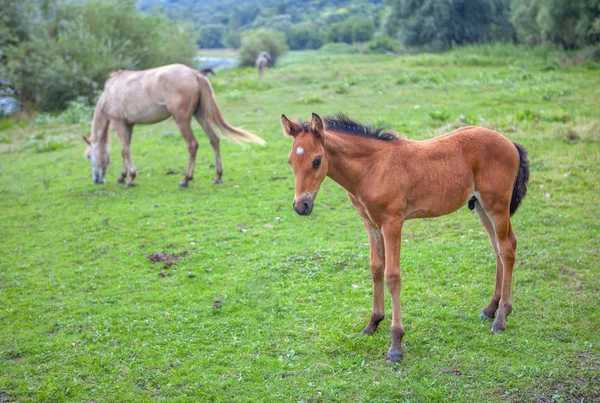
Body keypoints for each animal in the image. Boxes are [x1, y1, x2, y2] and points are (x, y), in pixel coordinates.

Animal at [82, 64, 264, 189]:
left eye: (89, 156)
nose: (96, 180)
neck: (110, 92)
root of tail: (195, 74)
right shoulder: (129, 125)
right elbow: (124, 151)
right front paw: (122, 177)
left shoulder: (119, 123)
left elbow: (126, 151)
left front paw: (131, 178)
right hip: (200, 115)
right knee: (214, 140)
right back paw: (218, 176)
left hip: (182, 120)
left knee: (192, 145)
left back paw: (185, 179)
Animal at [282, 113, 528, 362]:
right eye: (290, 161)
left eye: (317, 160)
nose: (301, 206)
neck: (372, 168)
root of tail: (511, 143)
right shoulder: (370, 223)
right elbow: (376, 268)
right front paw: (372, 323)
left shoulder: (392, 223)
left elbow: (392, 277)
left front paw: (396, 344)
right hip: (480, 206)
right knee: (497, 249)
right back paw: (490, 309)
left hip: (496, 204)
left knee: (507, 248)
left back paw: (501, 318)